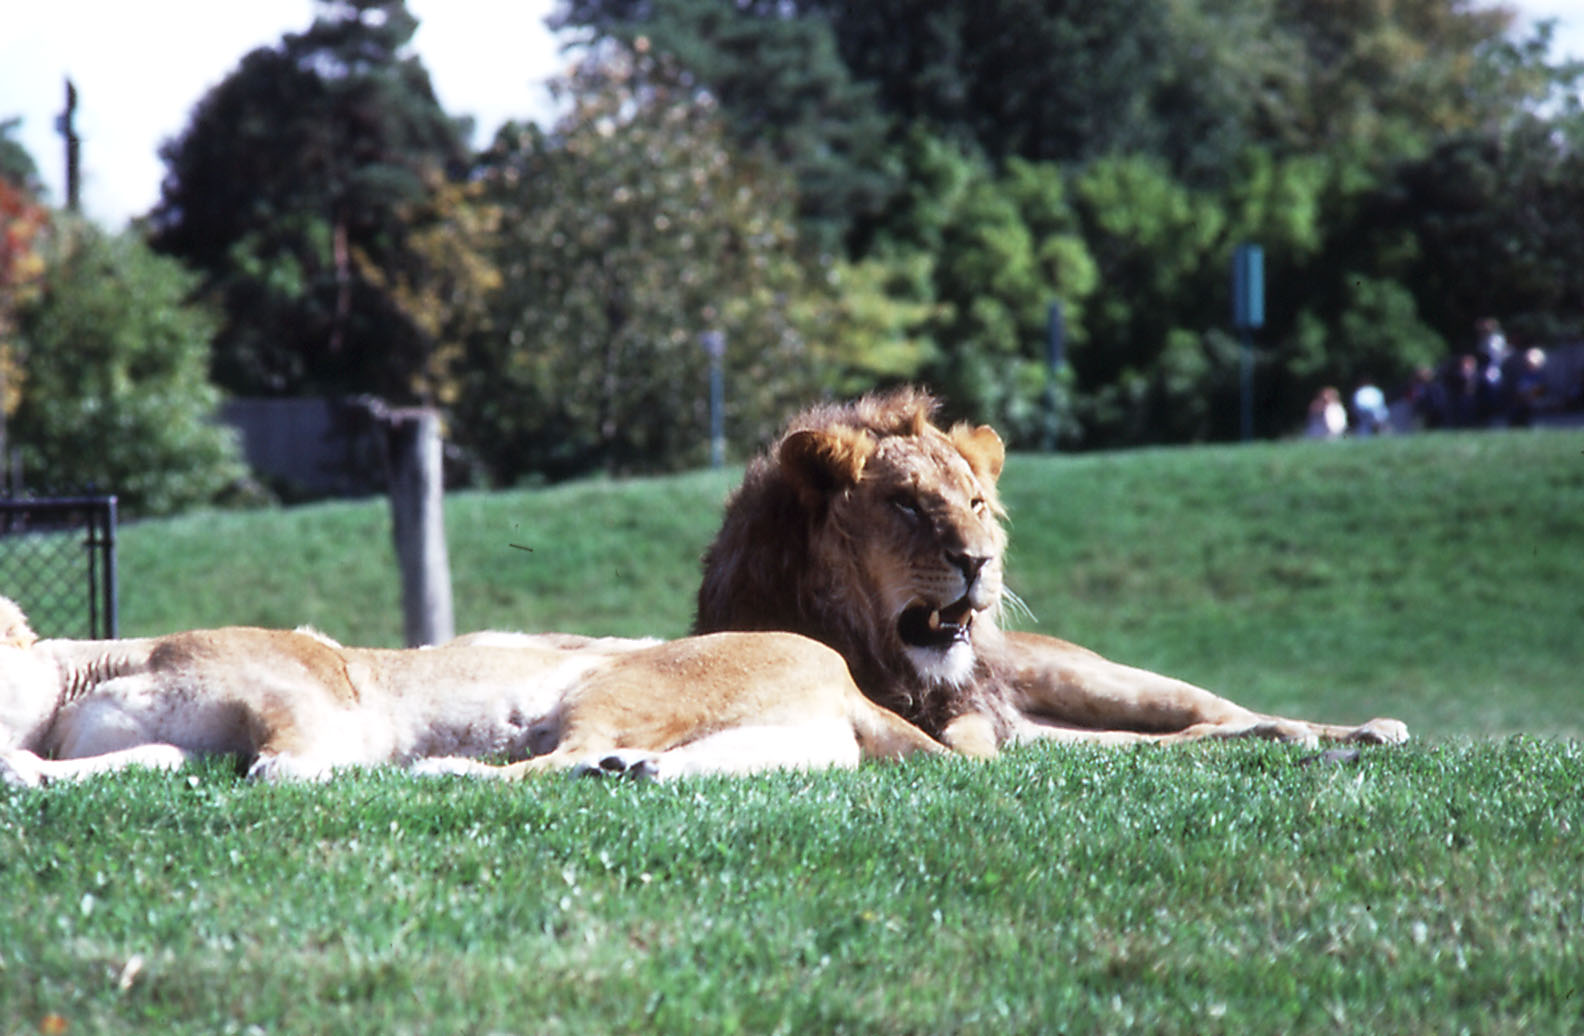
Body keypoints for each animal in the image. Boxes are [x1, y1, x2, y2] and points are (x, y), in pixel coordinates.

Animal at [695, 387, 1408, 756]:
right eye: (906, 503)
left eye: (975, 504)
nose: (977, 561)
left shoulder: (974, 709)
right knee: (1171, 736)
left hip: (1103, 680)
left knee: (1216, 711)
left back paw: (1357, 729)